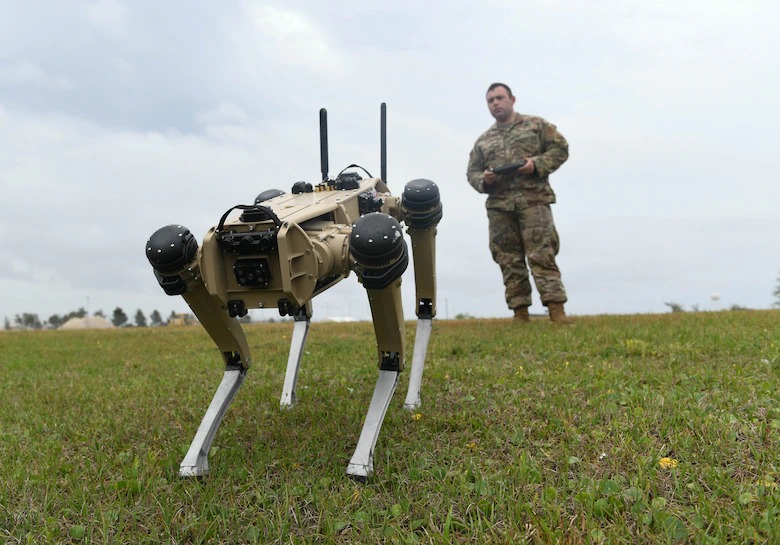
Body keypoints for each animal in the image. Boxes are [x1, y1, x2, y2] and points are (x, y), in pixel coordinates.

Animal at [145, 104, 438, 478]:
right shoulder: (188, 268)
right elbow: (236, 358)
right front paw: (194, 461)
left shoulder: (371, 243)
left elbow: (391, 356)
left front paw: (361, 461)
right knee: (300, 317)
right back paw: (287, 398)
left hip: (410, 214)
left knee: (424, 297)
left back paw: (411, 398)